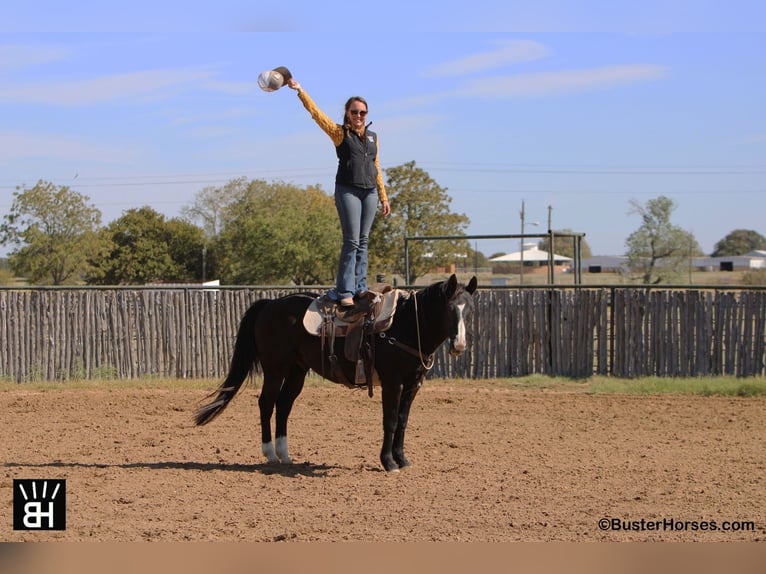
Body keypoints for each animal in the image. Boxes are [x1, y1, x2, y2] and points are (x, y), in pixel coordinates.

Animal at [195, 274, 476, 472]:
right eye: (450, 308)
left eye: (469, 310)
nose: (460, 345)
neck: (404, 325)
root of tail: (270, 304)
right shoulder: (392, 383)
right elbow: (390, 421)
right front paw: (388, 462)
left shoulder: (412, 385)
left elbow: (403, 421)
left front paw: (402, 459)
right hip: (275, 369)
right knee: (266, 403)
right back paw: (270, 454)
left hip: (297, 370)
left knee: (284, 405)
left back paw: (285, 454)